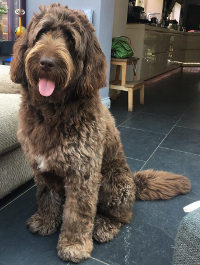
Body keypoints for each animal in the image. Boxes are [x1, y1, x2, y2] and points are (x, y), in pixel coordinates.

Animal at [10, 3, 191, 262]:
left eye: (70, 39)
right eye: (42, 32)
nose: (46, 62)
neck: (53, 111)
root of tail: (134, 181)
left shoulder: (83, 173)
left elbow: (78, 214)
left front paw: (74, 245)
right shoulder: (41, 168)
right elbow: (46, 196)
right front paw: (45, 221)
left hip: (113, 183)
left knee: (121, 217)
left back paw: (104, 225)